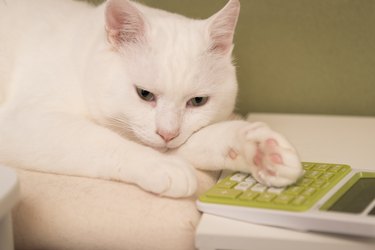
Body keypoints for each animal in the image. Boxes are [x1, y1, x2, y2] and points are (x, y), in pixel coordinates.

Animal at [0, 0, 304, 197]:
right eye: (144, 94)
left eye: (197, 101)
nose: (168, 133)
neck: (80, 60)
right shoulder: (23, 123)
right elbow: (102, 141)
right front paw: (160, 166)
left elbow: (208, 139)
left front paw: (262, 152)